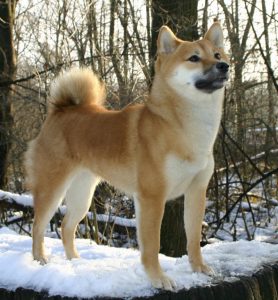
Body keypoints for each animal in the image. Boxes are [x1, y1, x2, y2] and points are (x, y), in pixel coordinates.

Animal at [25, 21, 229, 290]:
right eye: (194, 58)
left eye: (217, 55)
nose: (224, 65)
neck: (183, 126)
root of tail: (60, 111)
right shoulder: (152, 196)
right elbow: (152, 245)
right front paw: (158, 278)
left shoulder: (196, 190)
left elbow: (194, 238)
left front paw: (200, 269)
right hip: (52, 188)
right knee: (38, 226)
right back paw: (40, 260)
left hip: (82, 193)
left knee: (66, 226)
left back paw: (75, 262)